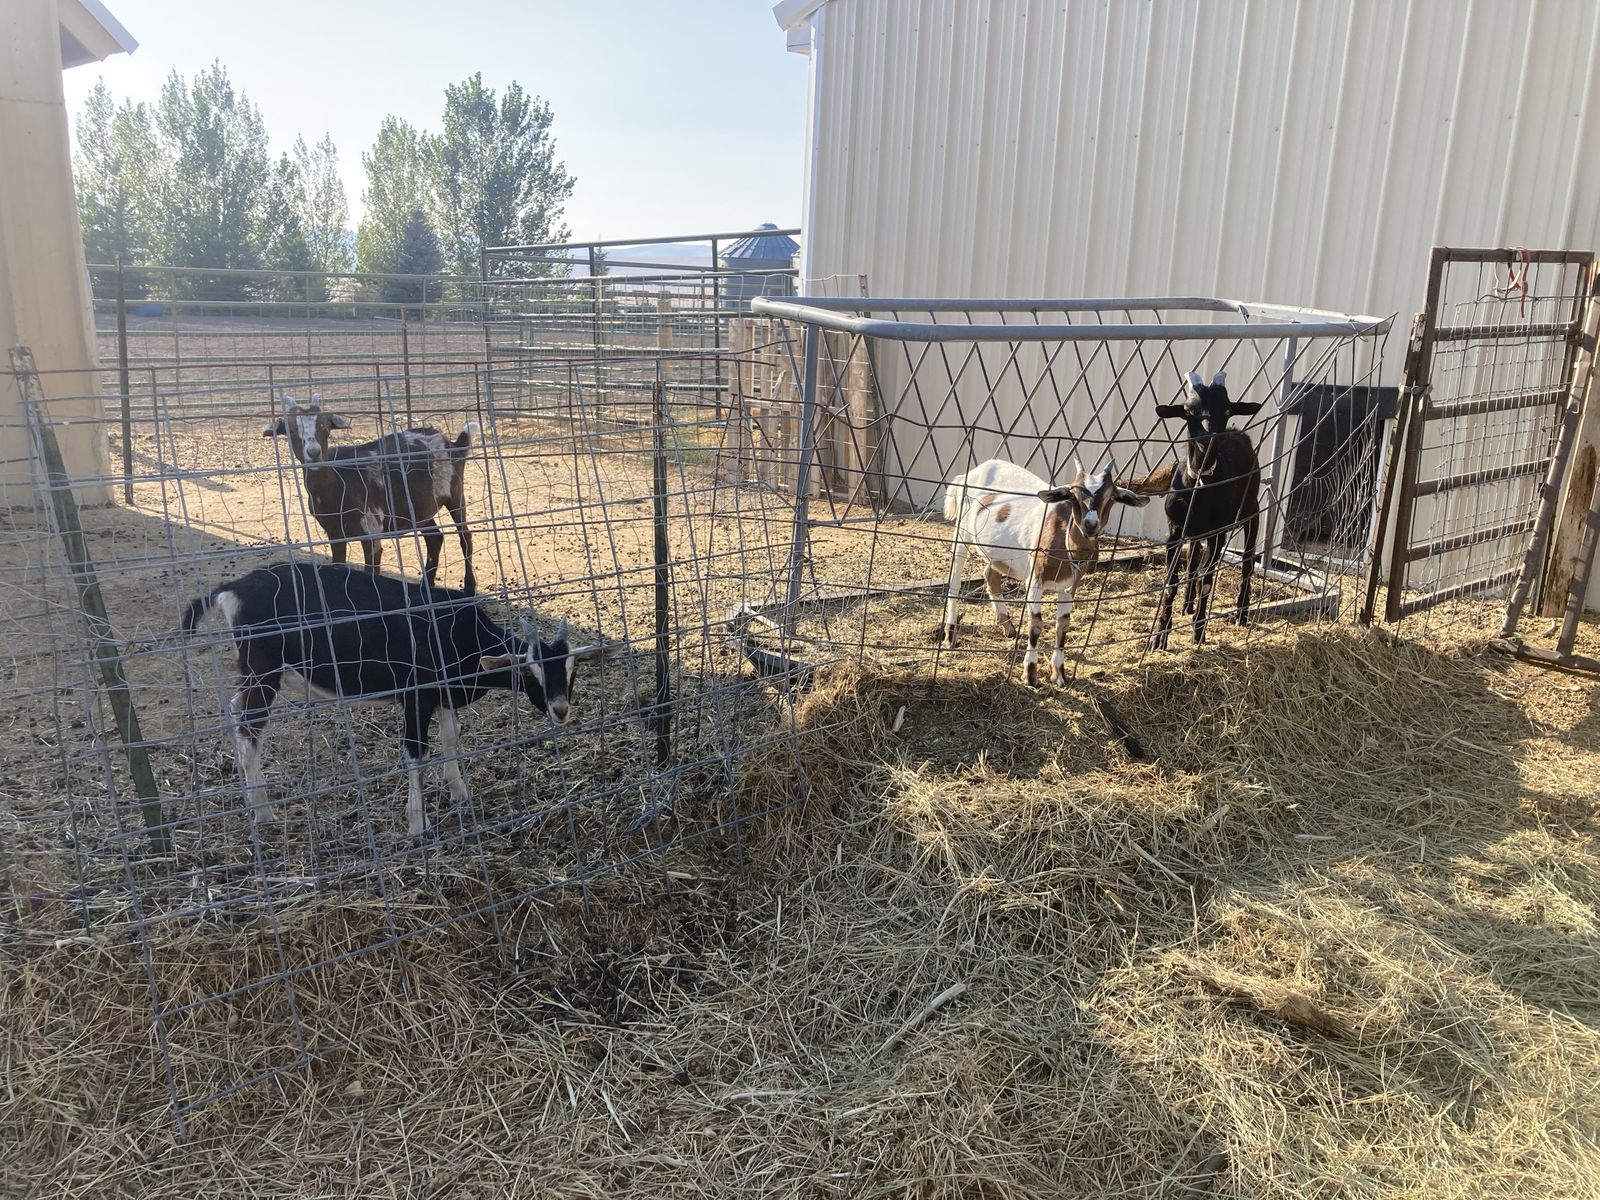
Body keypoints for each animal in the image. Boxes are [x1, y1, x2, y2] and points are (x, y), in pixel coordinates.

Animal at [182, 561, 608, 836]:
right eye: (529, 672)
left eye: (572, 671)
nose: (560, 709)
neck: (460, 633)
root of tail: (232, 590)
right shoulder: (416, 697)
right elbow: (416, 753)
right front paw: (417, 824)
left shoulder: (443, 696)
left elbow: (451, 740)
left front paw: (459, 794)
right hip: (264, 669)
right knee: (249, 729)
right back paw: (263, 812)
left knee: (237, 715)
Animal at [265, 392, 478, 594]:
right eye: (291, 430)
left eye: (325, 427)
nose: (314, 452)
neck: (339, 482)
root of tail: (453, 444)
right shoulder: (335, 534)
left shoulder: (371, 531)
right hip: (420, 508)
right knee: (435, 538)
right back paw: (427, 586)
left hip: (455, 494)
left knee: (465, 537)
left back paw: (469, 587)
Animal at [941, 457, 1150, 686]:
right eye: (1072, 495)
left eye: (1111, 497)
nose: (1090, 525)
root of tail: (971, 473)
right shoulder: (1035, 581)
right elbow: (1036, 625)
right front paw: (1030, 674)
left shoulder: (1069, 587)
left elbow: (1063, 625)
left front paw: (1059, 674)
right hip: (962, 534)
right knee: (955, 581)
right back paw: (950, 636)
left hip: (1000, 554)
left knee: (991, 576)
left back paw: (1008, 627)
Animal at [1148, 370, 1263, 651]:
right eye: (1188, 411)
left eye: (1227, 409)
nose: (1207, 440)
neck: (1199, 485)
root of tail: (1239, 433)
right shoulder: (1174, 531)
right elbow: (1171, 583)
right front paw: (1159, 638)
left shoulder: (1217, 534)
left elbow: (1206, 582)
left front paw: (1198, 634)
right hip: (1195, 530)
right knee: (1193, 560)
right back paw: (1187, 606)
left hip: (1251, 511)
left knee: (1247, 562)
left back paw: (1241, 614)